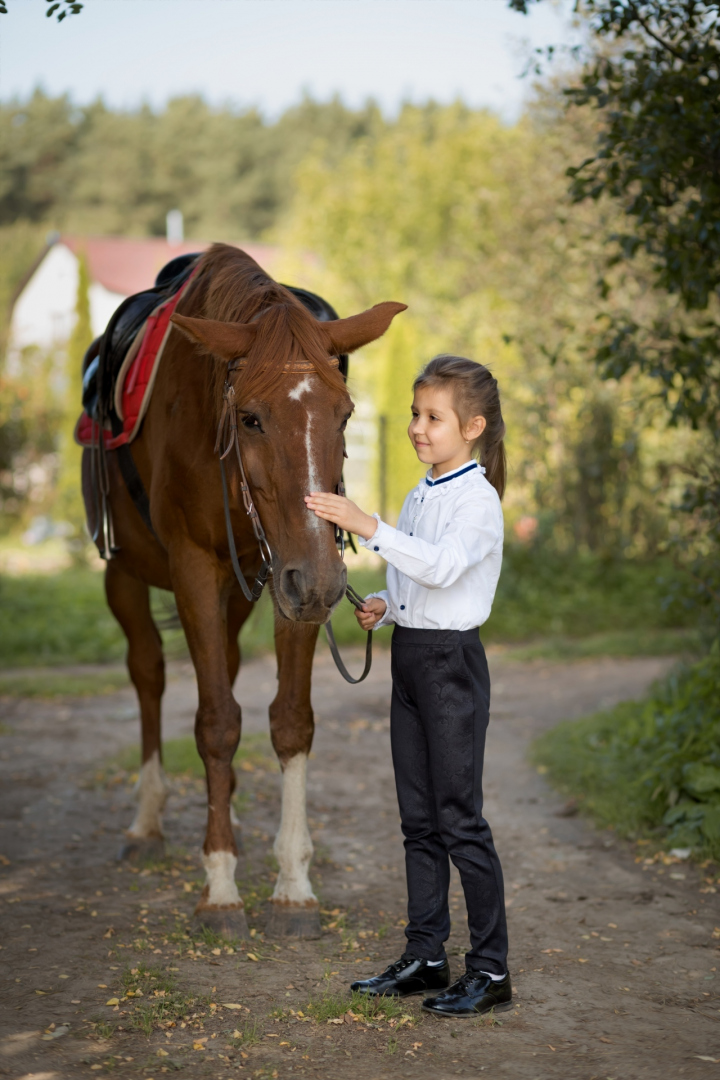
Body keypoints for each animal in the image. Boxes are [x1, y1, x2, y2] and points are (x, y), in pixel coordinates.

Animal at [83, 245, 405, 937]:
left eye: (345, 416)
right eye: (251, 418)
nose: (325, 582)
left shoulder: (296, 576)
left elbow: (289, 721)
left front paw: (293, 884)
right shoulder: (196, 570)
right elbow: (214, 723)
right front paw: (221, 885)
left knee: (224, 667)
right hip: (125, 573)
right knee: (148, 673)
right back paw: (148, 820)